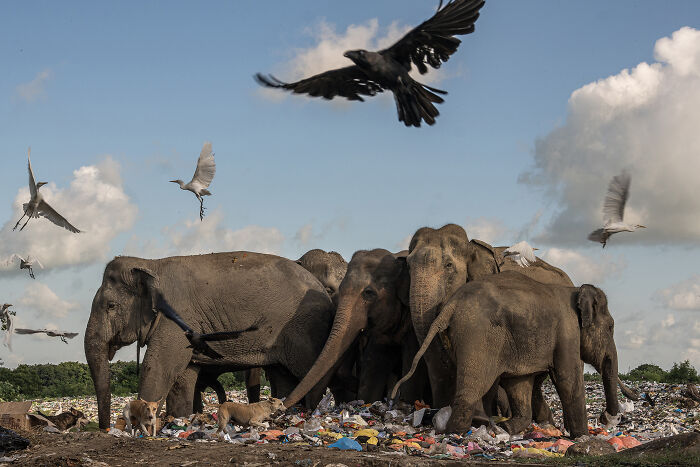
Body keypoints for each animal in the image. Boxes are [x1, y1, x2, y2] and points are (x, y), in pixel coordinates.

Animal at [85, 252, 336, 429]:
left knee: (312, 369)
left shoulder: (177, 318)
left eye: (111, 306)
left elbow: (157, 367)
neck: (151, 264)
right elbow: (183, 376)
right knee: (282, 374)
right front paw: (180, 418)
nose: (105, 429)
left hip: (304, 329)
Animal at [394, 271, 620, 437]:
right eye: (611, 327)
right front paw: (583, 438)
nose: (605, 417)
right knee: (475, 384)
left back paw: (487, 426)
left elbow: (519, 383)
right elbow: (567, 379)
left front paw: (507, 428)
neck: (576, 291)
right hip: (478, 335)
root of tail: (451, 304)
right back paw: (458, 432)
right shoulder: (567, 332)